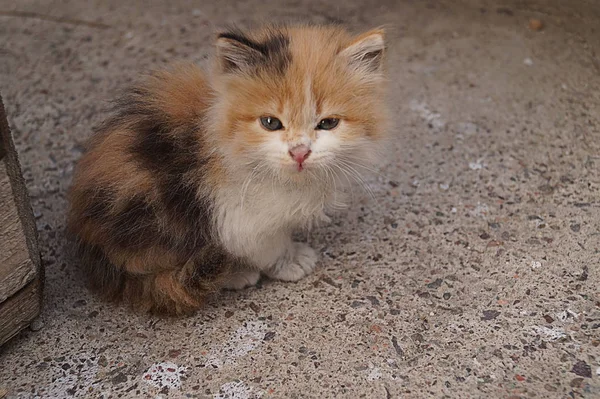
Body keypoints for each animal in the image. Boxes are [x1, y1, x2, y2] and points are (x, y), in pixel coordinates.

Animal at [67, 23, 390, 318]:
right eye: (270, 123)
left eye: (328, 123)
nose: (299, 152)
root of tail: (91, 246)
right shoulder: (235, 214)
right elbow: (269, 242)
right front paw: (290, 261)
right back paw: (233, 274)